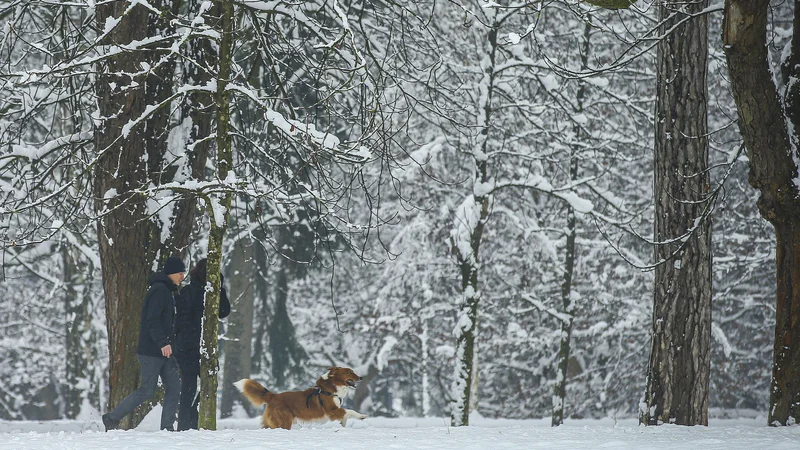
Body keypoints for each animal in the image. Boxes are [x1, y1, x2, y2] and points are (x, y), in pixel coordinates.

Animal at [233, 366, 368, 428]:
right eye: (350, 372)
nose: (361, 377)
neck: (331, 387)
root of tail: (273, 396)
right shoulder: (332, 411)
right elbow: (350, 411)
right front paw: (361, 416)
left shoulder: (336, 411)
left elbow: (345, 415)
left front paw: (343, 424)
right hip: (284, 421)